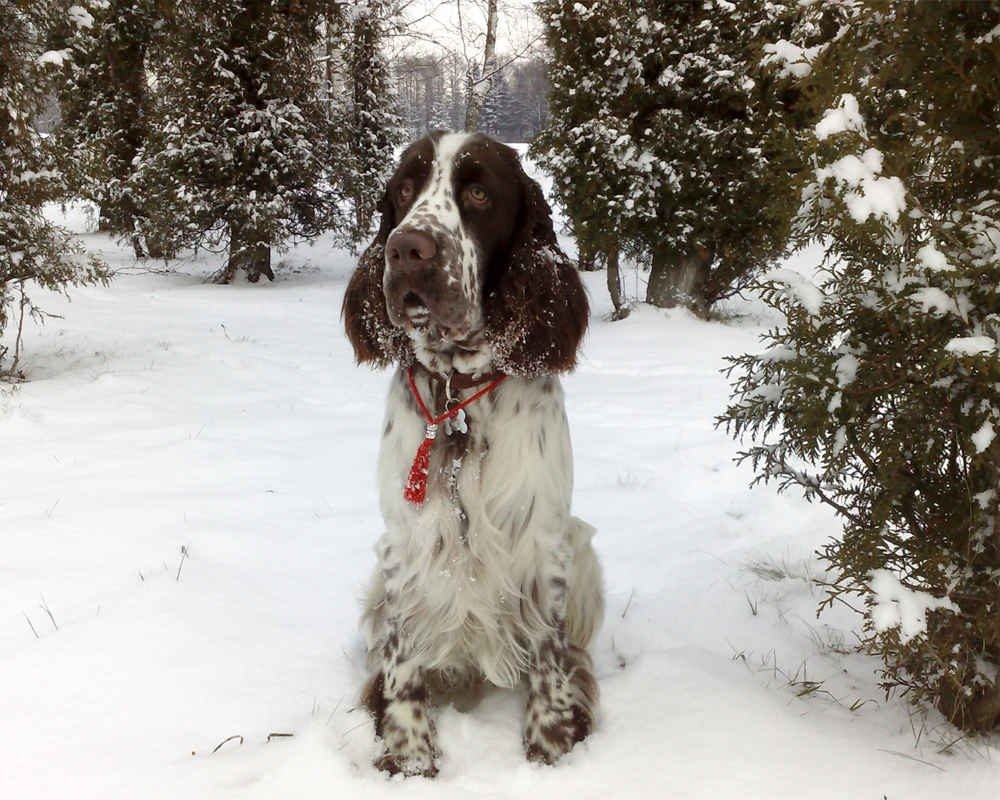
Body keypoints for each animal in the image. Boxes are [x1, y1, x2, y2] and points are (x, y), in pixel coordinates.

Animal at [344, 131, 600, 776]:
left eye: (480, 193)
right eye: (404, 189)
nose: (407, 249)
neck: (457, 393)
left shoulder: (544, 543)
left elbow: (549, 656)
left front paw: (549, 752)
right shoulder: (406, 544)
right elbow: (403, 660)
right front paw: (411, 761)